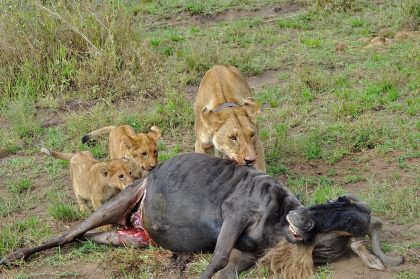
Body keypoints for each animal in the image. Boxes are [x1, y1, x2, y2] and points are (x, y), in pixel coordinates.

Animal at [0, 154, 402, 278]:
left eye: (347, 220)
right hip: (117, 202)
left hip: (127, 238)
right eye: (336, 202)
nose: (301, 216)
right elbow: (217, 258)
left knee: (86, 238)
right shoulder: (234, 214)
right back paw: (14, 255)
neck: (276, 224)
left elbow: (225, 268)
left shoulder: (246, 257)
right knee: (67, 236)